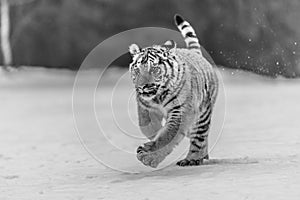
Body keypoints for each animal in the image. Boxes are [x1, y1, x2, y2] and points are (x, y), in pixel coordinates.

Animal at [128, 14, 218, 167]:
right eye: (137, 69)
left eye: (154, 69)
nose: (143, 85)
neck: (157, 97)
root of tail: (195, 54)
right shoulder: (145, 107)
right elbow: (146, 126)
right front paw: (152, 139)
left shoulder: (180, 112)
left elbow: (168, 135)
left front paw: (149, 155)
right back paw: (203, 156)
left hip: (202, 114)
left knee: (199, 138)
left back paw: (192, 159)